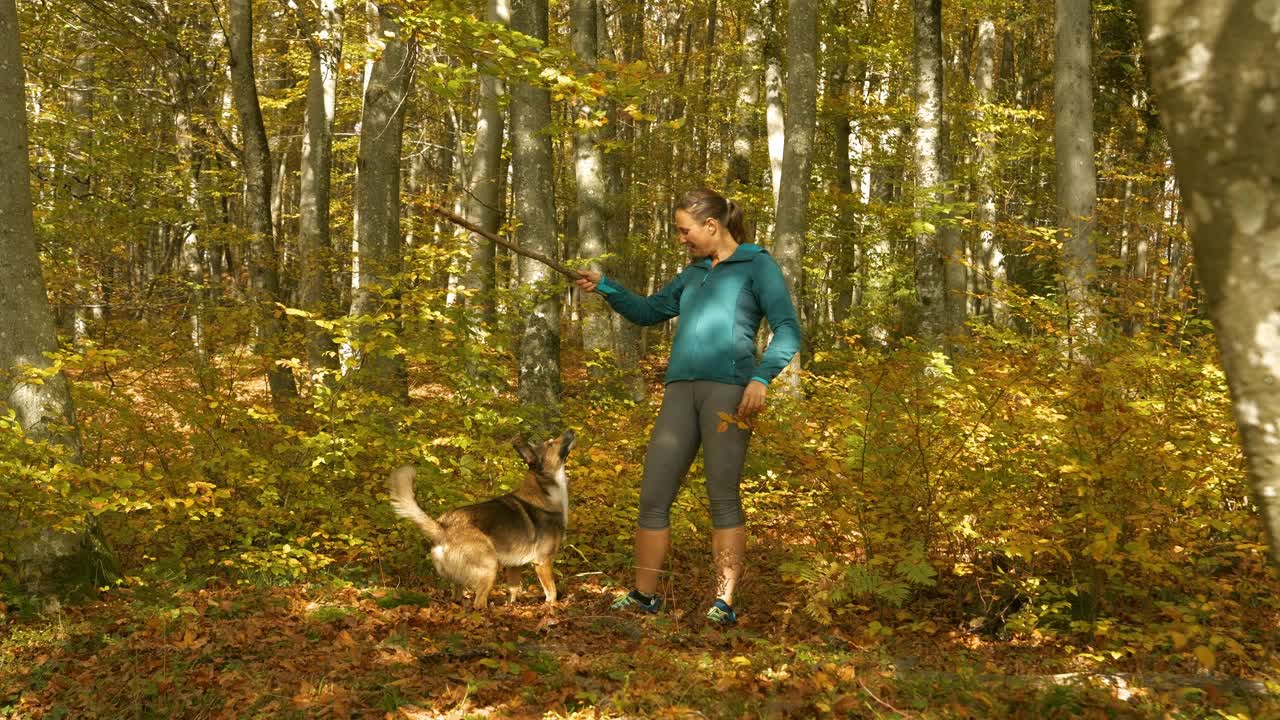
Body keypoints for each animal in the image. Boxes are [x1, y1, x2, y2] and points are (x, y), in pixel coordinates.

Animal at [384, 427, 576, 607]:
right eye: (551, 443)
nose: (571, 430)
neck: (544, 490)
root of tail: (442, 527)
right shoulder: (543, 562)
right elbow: (552, 592)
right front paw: (552, 607)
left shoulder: (514, 566)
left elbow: (513, 591)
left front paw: (511, 607)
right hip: (490, 566)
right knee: (478, 603)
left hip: (464, 579)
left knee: (458, 597)